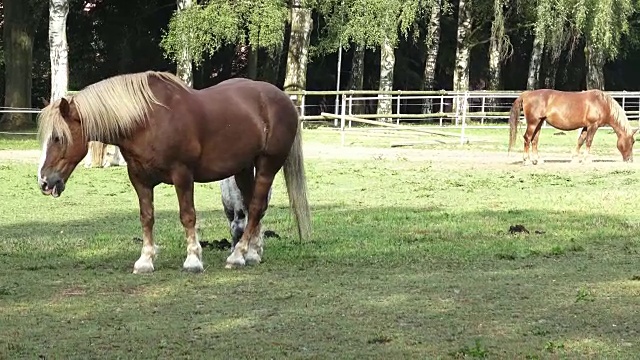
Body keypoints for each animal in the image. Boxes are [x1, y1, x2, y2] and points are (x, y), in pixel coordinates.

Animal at [36, 70, 312, 272]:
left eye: (59, 138)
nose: (45, 182)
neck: (147, 121)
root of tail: (283, 99)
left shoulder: (183, 176)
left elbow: (187, 216)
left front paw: (193, 260)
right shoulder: (139, 180)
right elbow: (146, 217)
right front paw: (145, 260)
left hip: (267, 164)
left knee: (254, 208)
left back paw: (237, 255)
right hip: (244, 168)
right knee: (254, 208)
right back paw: (251, 254)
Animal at [508, 89, 636, 164]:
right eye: (632, 142)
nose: (630, 160)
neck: (602, 103)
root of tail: (526, 94)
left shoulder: (586, 127)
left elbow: (580, 141)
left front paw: (575, 158)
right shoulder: (593, 125)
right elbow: (589, 141)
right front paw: (586, 159)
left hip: (539, 123)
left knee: (534, 140)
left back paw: (537, 160)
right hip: (533, 123)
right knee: (527, 138)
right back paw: (527, 160)